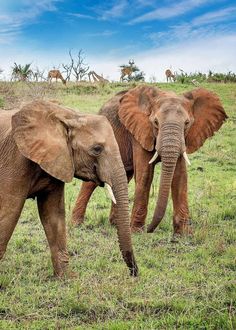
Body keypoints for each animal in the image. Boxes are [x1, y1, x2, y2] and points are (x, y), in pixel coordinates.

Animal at [0, 102, 137, 278]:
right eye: (97, 149)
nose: (134, 272)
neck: (68, 116)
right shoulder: (15, 160)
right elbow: (9, 213)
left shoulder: (59, 160)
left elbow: (53, 214)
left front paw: (67, 278)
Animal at [72, 85, 227, 235]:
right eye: (156, 122)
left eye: (187, 123)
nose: (150, 230)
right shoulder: (140, 131)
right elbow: (145, 175)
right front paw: (137, 231)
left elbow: (180, 177)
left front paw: (184, 234)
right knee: (91, 183)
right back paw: (76, 224)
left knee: (123, 177)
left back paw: (115, 224)